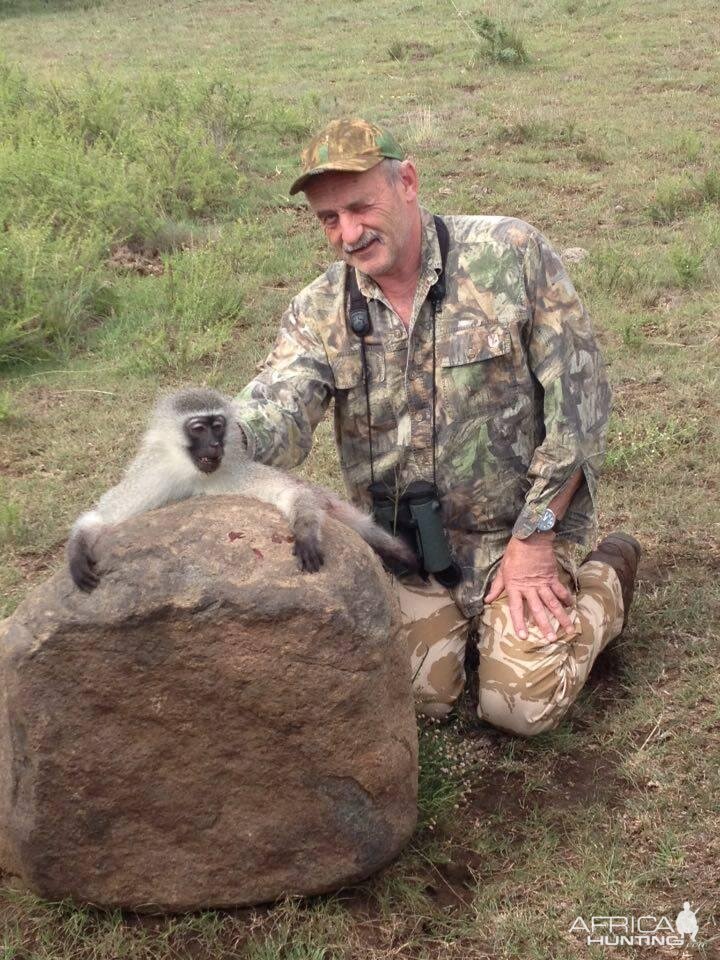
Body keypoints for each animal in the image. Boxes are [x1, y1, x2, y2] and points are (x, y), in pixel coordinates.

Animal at [69, 386, 416, 588]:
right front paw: (77, 549)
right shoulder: (153, 473)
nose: (214, 444)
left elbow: (291, 493)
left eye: (218, 426)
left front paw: (304, 530)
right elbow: (105, 517)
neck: (196, 475)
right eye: (199, 428)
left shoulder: (234, 469)